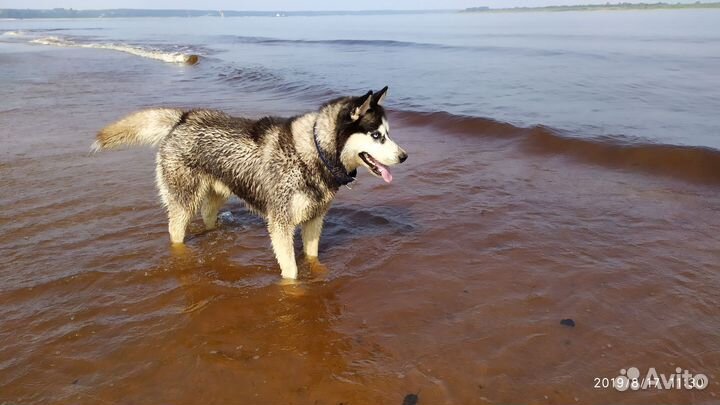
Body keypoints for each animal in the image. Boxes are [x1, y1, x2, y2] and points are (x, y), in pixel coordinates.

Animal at [91, 88, 404, 278]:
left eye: (388, 133)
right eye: (377, 136)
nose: (404, 156)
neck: (314, 152)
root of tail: (184, 117)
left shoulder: (314, 220)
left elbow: (313, 256)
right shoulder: (280, 224)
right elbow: (291, 271)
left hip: (215, 196)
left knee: (208, 217)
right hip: (183, 202)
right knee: (175, 230)